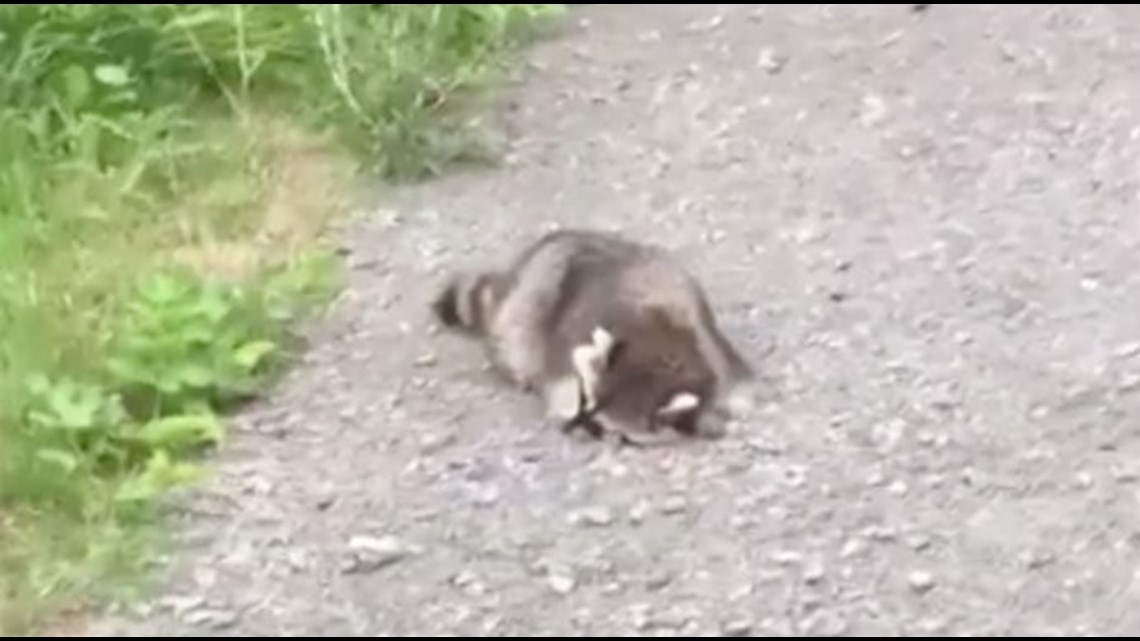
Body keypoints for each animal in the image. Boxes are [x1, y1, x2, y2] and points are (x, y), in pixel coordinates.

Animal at [431, 228, 756, 445]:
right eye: (583, 399)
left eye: (603, 427)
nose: (568, 427)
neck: (659, 348)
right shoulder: (568, 343)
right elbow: (559, 379)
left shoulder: (708, 340)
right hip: (528, 305)